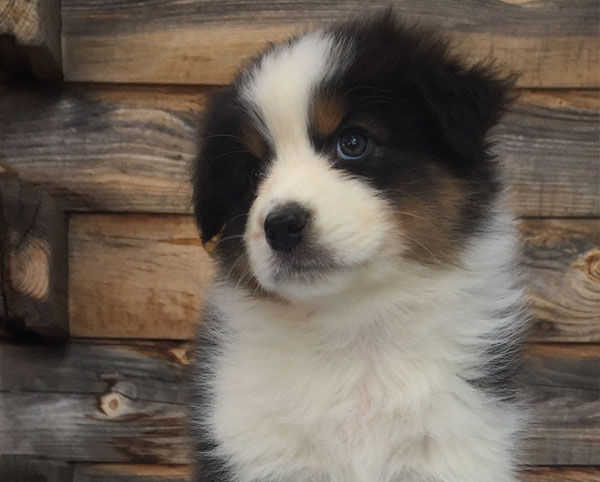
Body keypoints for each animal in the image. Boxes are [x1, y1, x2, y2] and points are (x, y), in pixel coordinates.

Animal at [190, 14, 528, 482]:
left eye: (352, 143)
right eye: (253, 172)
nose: (281, 226)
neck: (353, 329)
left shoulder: (457, 448)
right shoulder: (256, 449)